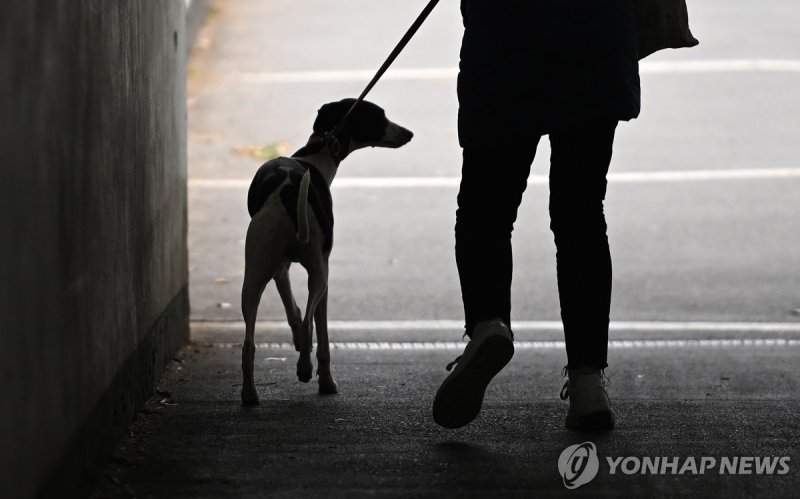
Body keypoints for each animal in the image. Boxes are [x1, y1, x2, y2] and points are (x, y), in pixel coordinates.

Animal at [239, 98, 412, 406]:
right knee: (310, 323)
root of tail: (288, 192)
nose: (409, 133)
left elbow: (292, 309)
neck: (316, 156)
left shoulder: (280, 270)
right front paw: (326, 381)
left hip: (253, 277)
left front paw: (296, 339)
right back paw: (305, 370)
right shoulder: (325, 276)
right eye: (380, 115)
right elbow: (320, 333)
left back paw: (249, 394)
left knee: (249, 343)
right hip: (318, 274)